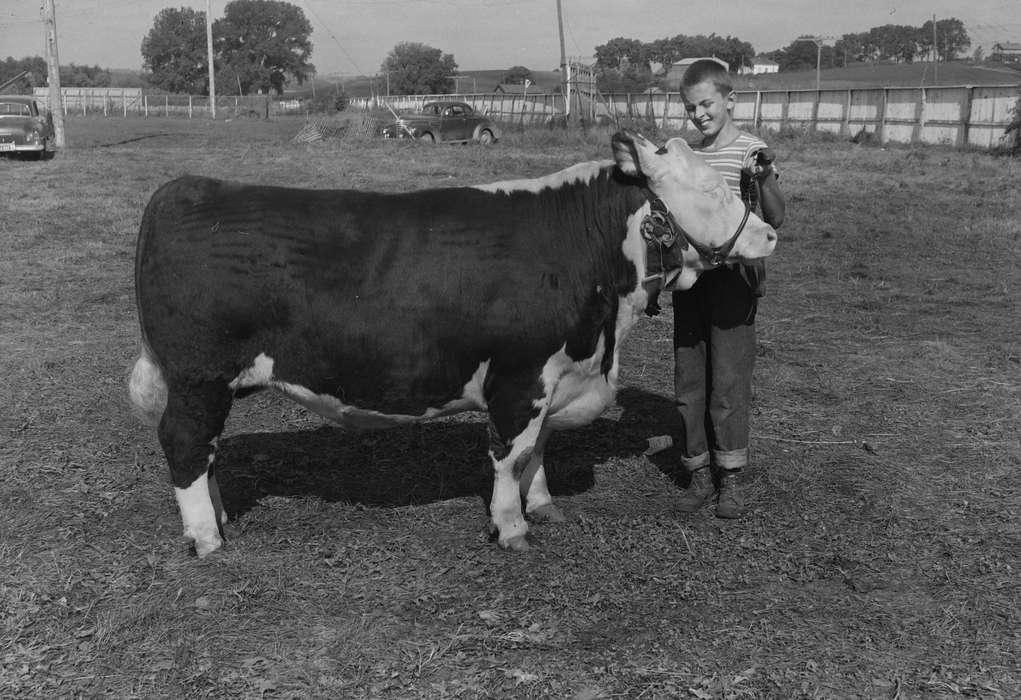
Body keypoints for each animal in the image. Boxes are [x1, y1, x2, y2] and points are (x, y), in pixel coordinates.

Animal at [128, 131, 776, 556]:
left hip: (209, 385)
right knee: (184, 445)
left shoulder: (553, 377)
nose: (769, 234)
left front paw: (543, 506)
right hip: (198, 378)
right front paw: (511, 528)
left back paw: (220, 518)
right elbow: (511, 454)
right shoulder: (520, 377)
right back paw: (207, 538)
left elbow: (538, 450)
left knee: (208, 451)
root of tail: (183, 189)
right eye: (711, 189)